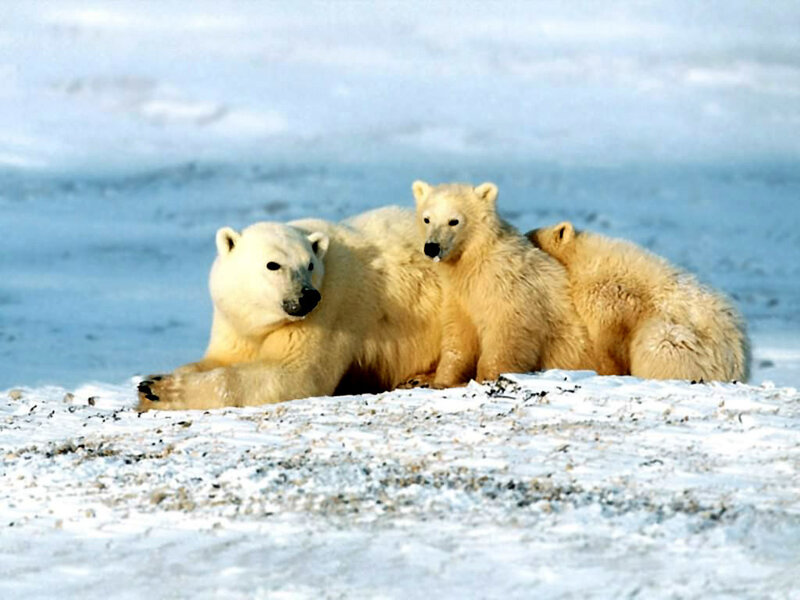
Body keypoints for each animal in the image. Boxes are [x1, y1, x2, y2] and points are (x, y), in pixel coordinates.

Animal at [137, 206, 443, 411]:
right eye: (273, 265)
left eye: (309, 265)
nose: (308, 296)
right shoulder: (236, 320)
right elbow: (222, 357)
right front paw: (154, 380)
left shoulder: (333, 307)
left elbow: (291, 374)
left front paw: (159, 389)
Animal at [409, 181, 593, 388]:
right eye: (427, 219)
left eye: (454, 221)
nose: (432, 247)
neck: (477, 262)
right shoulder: (460, 296)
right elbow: (459, 336)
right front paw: (443, 380)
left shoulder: (509, 291)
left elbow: (506, 339)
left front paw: (487, 377)